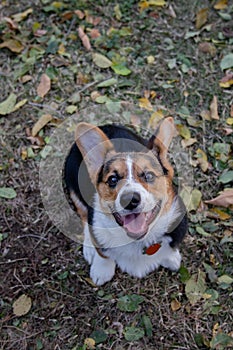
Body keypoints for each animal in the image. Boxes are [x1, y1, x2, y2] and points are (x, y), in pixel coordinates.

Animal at [64, 116, 187, 286]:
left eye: (149, 176)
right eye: (112, 179)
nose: (129, 200)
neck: (137, 241)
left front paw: (171, 258)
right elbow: (103, 253)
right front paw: (102, 270)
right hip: (73, 187)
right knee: (83, 216)